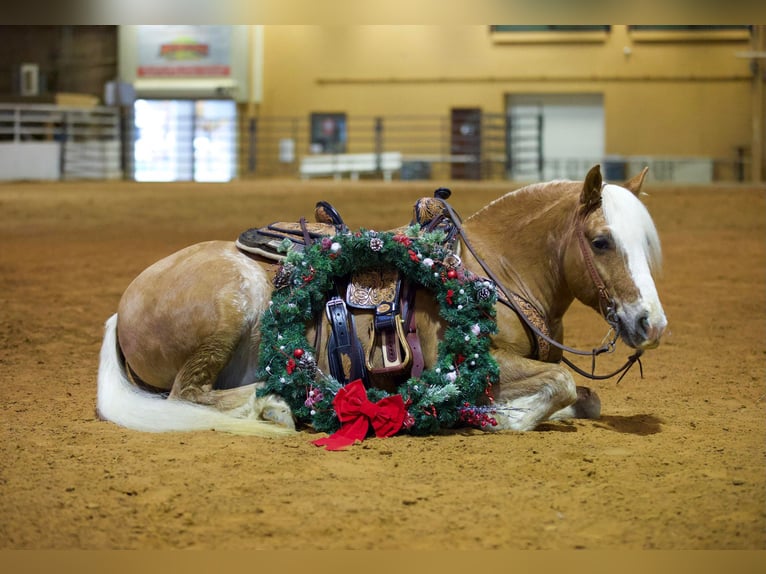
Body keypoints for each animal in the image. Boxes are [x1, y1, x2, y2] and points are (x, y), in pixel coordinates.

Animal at [99, 164, 668, 438]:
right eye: (601, 241)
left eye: (645, 241)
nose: (651, 323)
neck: (498, 270)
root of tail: (124, 306)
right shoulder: (467, 362)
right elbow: (562, 382)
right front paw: (503, 416)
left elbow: (584, 396)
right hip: (227, 311)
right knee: (187, 395)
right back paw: (276, 404)